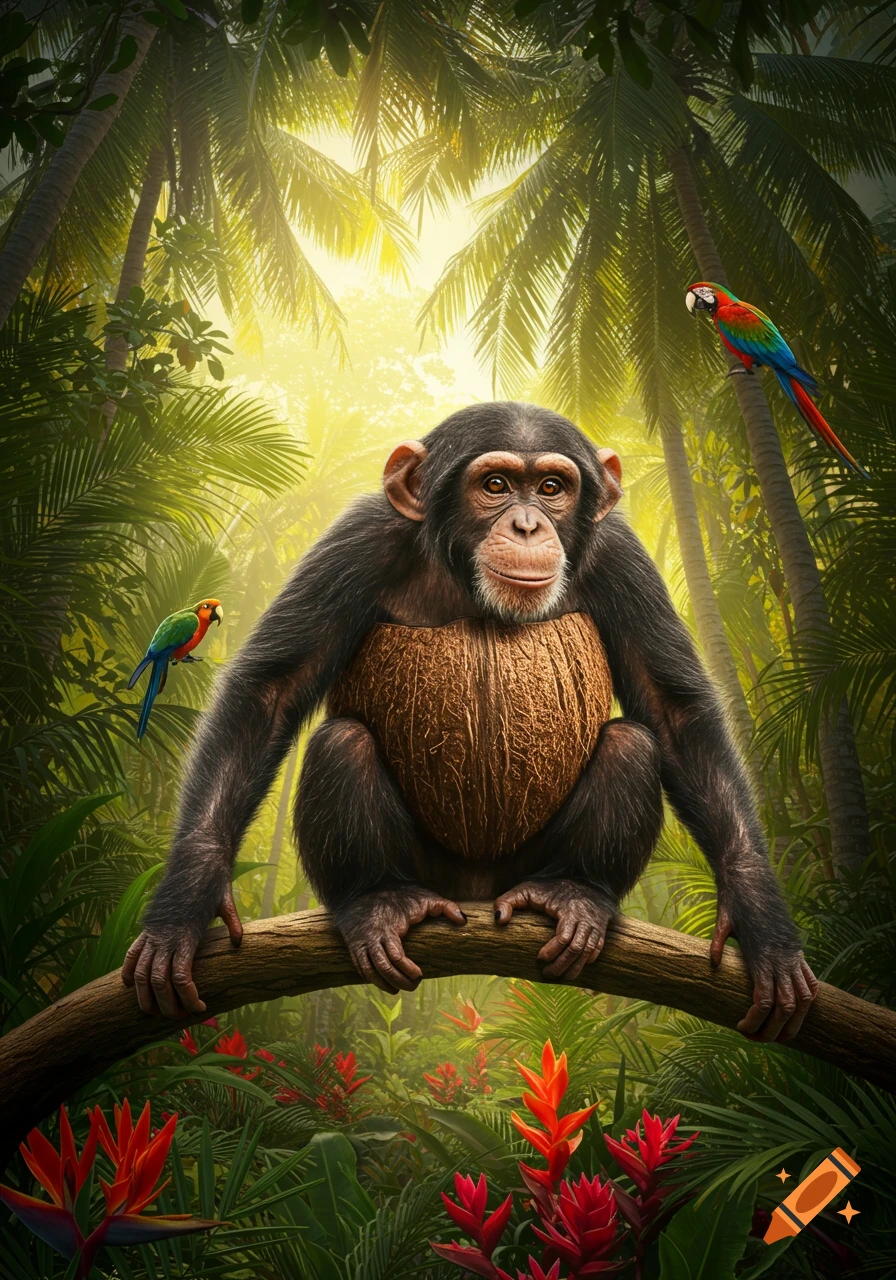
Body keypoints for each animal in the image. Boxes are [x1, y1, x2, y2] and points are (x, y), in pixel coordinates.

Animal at [123, 402, 818, 1043]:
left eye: (552, 487)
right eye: (495, 484)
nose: (528, 523)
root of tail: (478, 896)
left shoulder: (623, 556)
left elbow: (676, 714)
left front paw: (761, 920)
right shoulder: (357, 540)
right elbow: (268, 693)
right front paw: (184, 905)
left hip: (521, 872)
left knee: (632, 743)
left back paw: (576, 894)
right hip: (434, 876)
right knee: (341, 742)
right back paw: (376, 904)